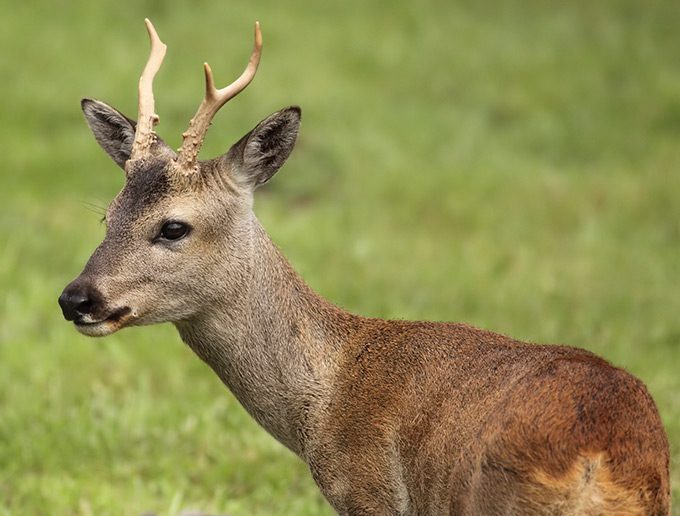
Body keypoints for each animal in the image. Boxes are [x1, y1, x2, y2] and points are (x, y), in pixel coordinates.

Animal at [59, 18, 668, 512]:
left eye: (173, 227)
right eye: (108, 215)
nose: (75, 297)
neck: (322, 400)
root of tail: (601, 462)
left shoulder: (367, 490)